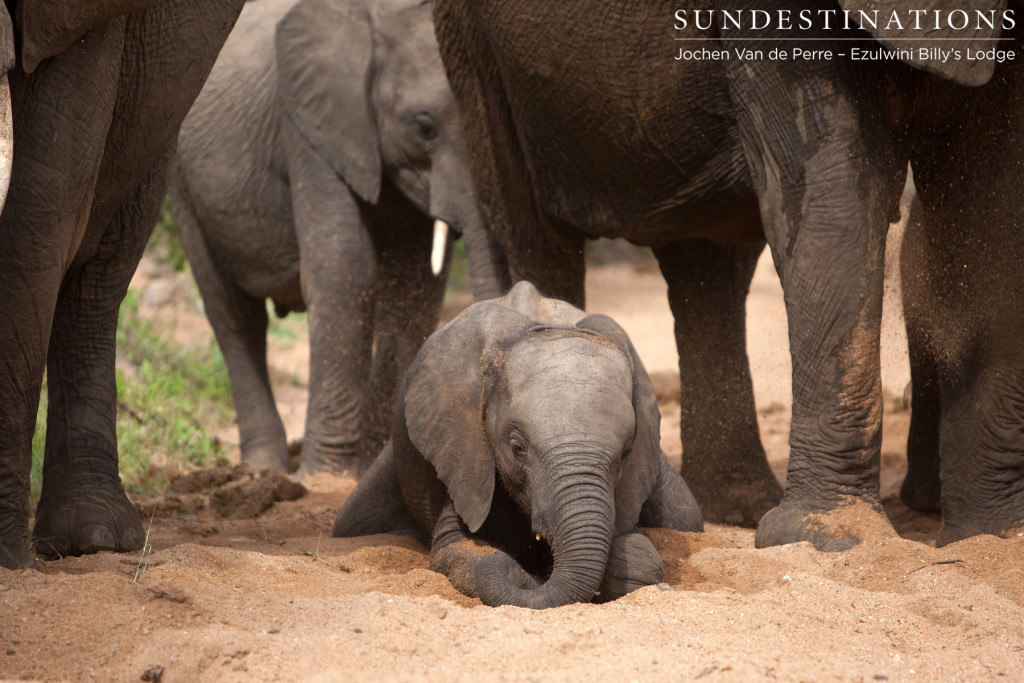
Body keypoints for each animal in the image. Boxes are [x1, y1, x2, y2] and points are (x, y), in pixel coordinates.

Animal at [172, 0, 507, 481]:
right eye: (424, 126)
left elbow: (413, 287)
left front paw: (379, 465)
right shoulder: (308, 126)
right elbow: (344, 268)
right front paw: (326, 478)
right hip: (181, 179)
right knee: (233, 315)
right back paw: (263, 470)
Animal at [335, 282, 704, 610]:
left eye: (627, 451)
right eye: (517, 448)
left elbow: (640, 560)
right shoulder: (465, 451)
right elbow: (459, 548)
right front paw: (516, 567)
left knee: (684, 513)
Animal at [436, 0, 1024, 548]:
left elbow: (995, 207)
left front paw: (990, 538)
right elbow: (833, 195)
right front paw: (827, 540)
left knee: (707, 263)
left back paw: (734, 509)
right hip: (477, 51)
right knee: (529, 221)